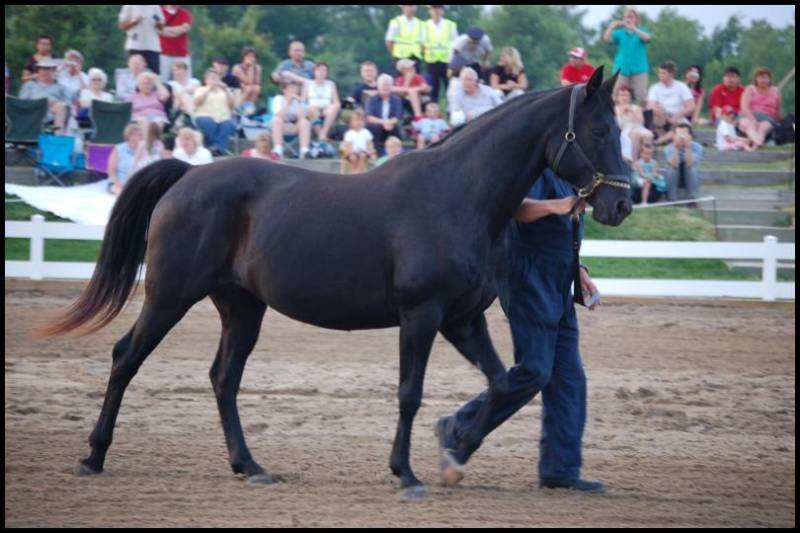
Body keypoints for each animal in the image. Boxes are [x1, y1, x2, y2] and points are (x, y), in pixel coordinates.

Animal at [39, 67, 632, 499]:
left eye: (622, 129)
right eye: (600, 130)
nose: (622, 204)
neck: (459, 195)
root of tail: (187, 174)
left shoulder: (463, 318)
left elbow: (504, 381)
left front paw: (456, 448)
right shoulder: (422, 315)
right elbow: (410, 393)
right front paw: (408, 475)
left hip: (242, 307)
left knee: (223, 379)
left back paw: (250, 466)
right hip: (170, 295)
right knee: (126, 358)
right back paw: (93, 457)